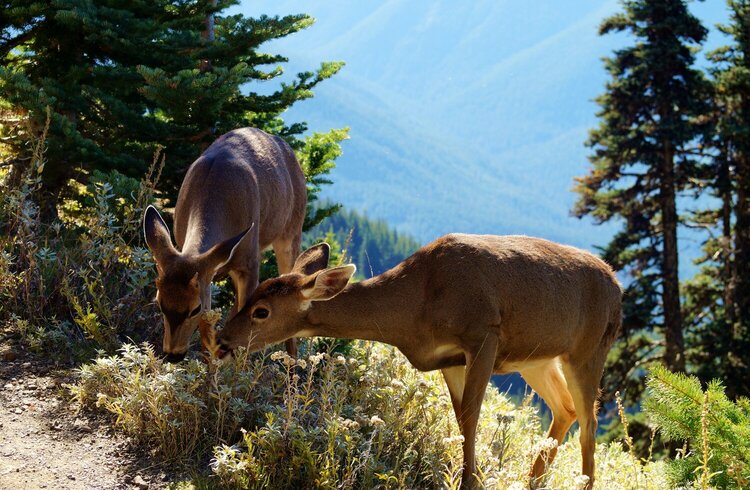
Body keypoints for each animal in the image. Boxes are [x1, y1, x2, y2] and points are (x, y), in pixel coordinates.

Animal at [142, 127, 306, 364]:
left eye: (194, 309)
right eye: (159, 302)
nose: (173, 355)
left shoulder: (249, 261)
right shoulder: (204, 266)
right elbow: (208, 326)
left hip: (291, 231)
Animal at [216, 234, 624, 486]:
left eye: (262, 312)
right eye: (252, 294)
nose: (222, 339)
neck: (415, 308)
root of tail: (617, 284)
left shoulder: (483, 332)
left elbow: (472, 418)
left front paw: (469, 481)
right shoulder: (449, 359)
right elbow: (461, 421)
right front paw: (471, 476)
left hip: (589, 347)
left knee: (589, 424)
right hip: (536, 359)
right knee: (565, 409)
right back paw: (532, 481)